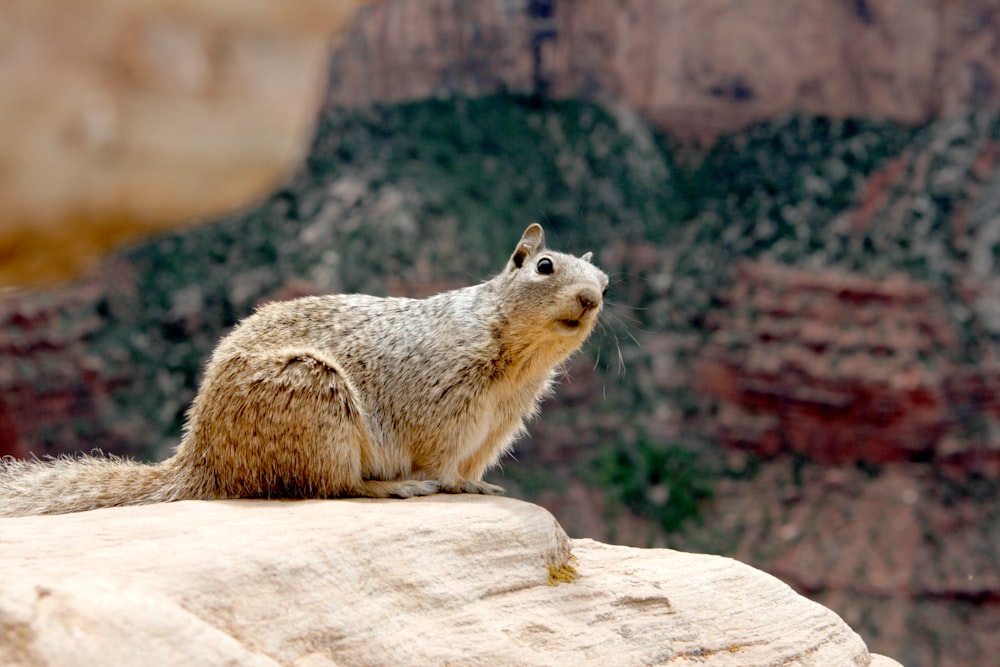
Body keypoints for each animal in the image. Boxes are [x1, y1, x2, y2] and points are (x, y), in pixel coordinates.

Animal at [0, 224, 608, 516]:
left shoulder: (502, 421)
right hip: (318, 403)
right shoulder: (447, 401)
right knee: (332, 485)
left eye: (605, 281)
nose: (592, 299)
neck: (519, 362)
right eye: (544, 265)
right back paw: (392, 488)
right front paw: (453, 484)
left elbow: (475, 460)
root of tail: (202, 457)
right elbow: (441, 455)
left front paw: (478, 485)